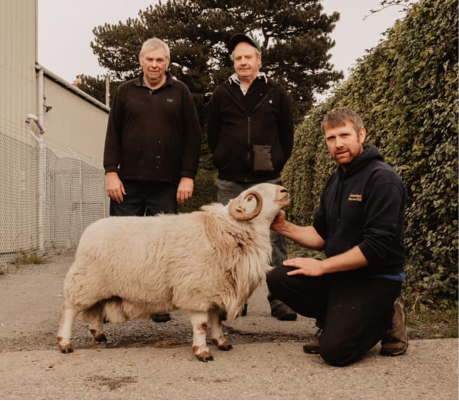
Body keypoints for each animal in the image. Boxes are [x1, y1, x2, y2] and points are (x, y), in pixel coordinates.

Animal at [55, 183, 290, 360]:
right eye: (251, 197)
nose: (284, 191)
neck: (225, 232)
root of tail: (88, 232)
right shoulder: (195, 291)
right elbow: (202, 324)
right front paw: (202, 352)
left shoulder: (214, 289)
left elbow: (216, 320)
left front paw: (222, 342)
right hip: (85, 282)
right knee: (69, 310)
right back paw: (65, 344)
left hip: (101, 288)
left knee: (93, 312)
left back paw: (99, 335)